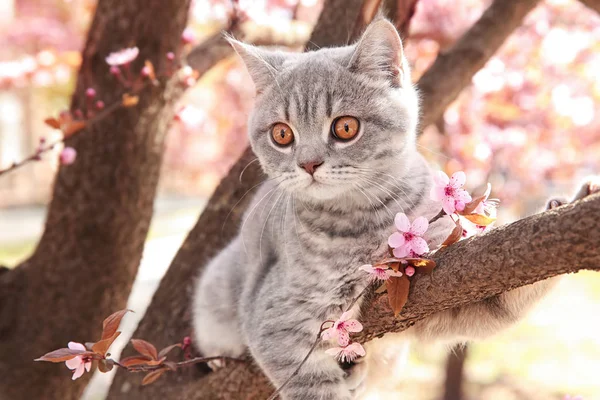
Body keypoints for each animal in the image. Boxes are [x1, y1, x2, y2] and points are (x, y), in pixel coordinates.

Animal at [193, 19, 576, 400]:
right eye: (282, 134)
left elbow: (508, 295)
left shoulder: (451, 286)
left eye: (345, 127)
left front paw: (562, 206)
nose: (308, 163)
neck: (365, 221)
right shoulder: (276, 319)